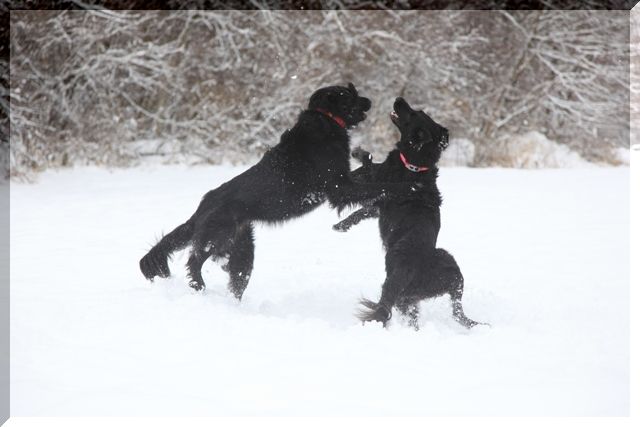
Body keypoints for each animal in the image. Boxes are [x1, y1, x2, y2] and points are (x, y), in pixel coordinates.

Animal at [139, 83, 418, 298]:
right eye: (348, 95)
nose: (369, 101)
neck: (325, 122)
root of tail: (203, 205)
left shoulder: (345, 179)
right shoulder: (340, 188)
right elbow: (380, 186)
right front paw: (409, 186)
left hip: (242, 250)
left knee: (235, 276)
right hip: (216, 235)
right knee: (194, 259)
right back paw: (198, 286)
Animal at [332, 98, 482, 332]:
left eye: (413, 114)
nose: (399, 99)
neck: (416, 166)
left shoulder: (379, 190)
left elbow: (366, 171)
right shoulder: (377, 205)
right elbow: (362, 203)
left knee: (387, 307)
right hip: (431, 281)